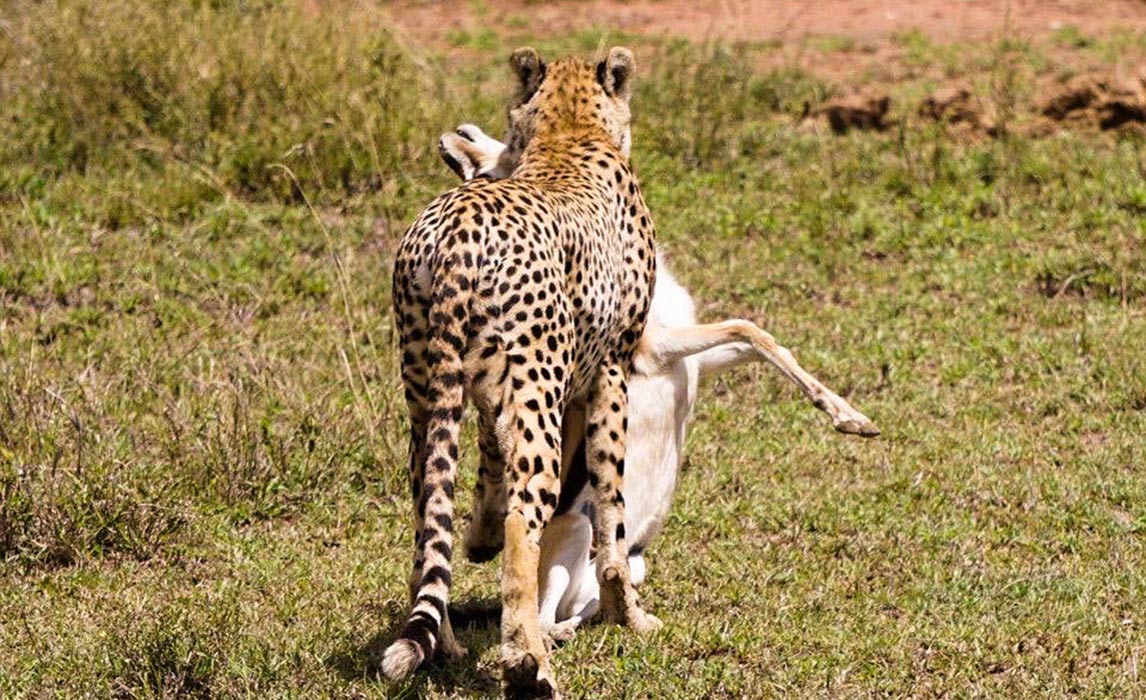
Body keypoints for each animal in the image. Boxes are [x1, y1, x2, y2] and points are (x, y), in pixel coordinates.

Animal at [389, 46, 664, 696]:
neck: (569, 133)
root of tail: (458, 226)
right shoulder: (611, 375)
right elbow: (612, 518)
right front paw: (629, 616)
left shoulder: (496, 389)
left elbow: (487, 472)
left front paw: (477, 539)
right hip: (538, 390)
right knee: (526, 523)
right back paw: (528, 663)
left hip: (425, 388)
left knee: (427, 509)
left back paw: (444, 642)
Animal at [442, 123, 880, 636]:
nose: (456, 137)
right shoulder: (655, 352)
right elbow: (745, 326)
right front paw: (850, 418)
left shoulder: (695, 362)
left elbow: (757, 336)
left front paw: (853, 418)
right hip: (577, 534)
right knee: (550, 617)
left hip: (631, 561)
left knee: (592, 599)